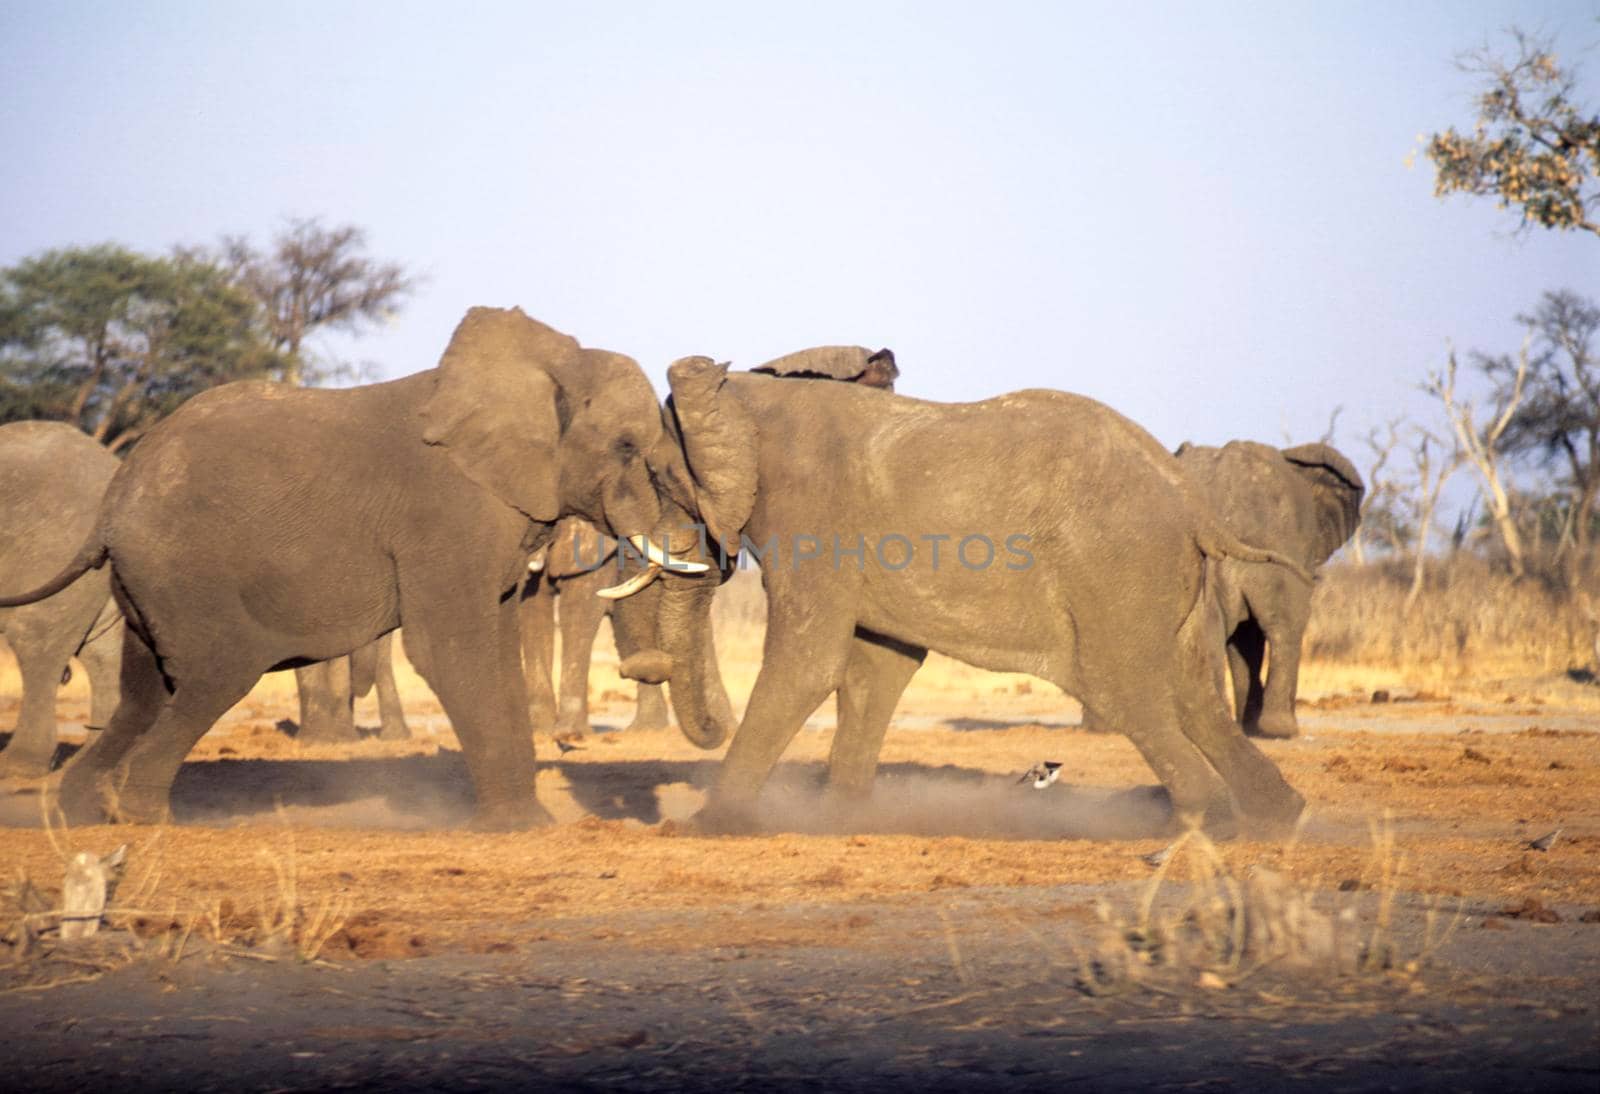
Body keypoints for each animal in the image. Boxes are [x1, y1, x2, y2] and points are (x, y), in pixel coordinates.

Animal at [624, 350, 1312, 838]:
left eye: (656, 474)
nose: (640, 668)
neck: (746, 395)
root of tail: (1194, 505)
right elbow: (878, 667)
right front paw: (843, 819)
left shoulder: (814, 521)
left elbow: (809, 665)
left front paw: (706, 829)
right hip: (1164, 578)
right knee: (1192, 692)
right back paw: (1280, 817)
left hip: (1116, 567)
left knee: (1124, 688)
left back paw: (1203, 824)